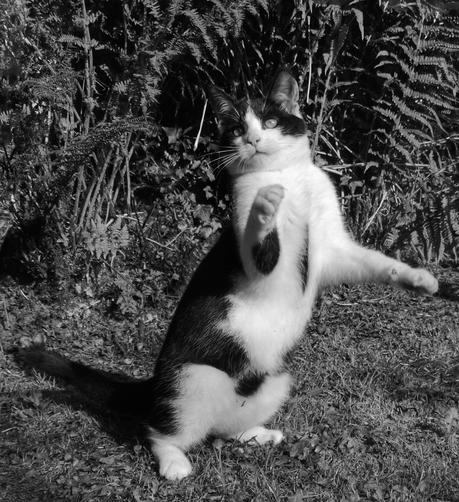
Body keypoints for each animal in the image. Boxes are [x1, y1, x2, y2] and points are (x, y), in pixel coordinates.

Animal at [16, 71, 440, 482]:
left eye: (270, 121)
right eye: (236, 128)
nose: (252, 139)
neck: (287, 177)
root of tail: (153, 386)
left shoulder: (332, 249)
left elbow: (372, 262)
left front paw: (417, 278)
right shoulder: (255, 258)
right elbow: (259, 241)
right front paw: (265, 208)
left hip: (277, 378)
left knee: (224, 429)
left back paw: (254, 434)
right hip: (191, 381)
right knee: (159, 431)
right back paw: (173, 463)